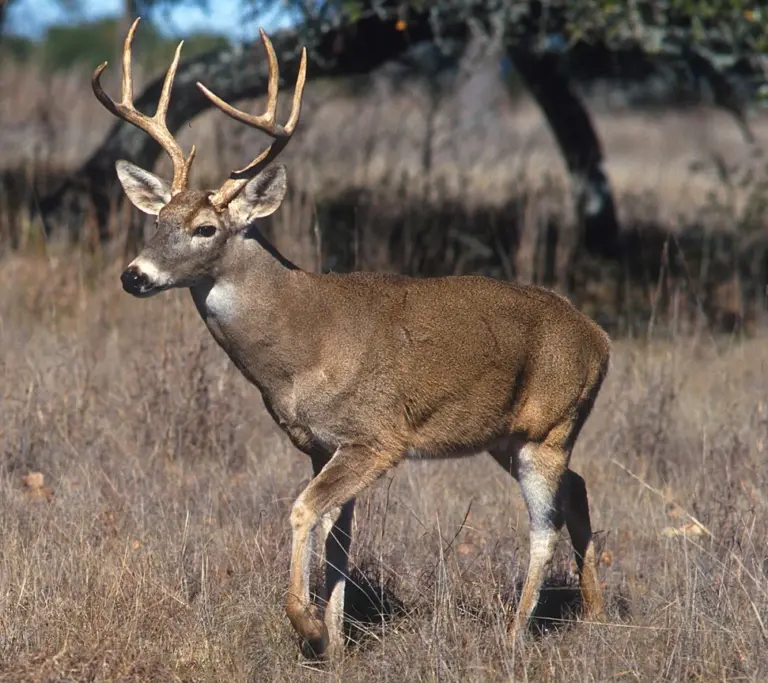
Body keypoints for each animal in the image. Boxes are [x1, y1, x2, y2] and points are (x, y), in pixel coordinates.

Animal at [94, 17, 611, 661]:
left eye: (205, 228)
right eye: (157, 221)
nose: (133, 276)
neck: (300, 348)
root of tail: (601, 339)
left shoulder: (376, 437)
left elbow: (303, 512)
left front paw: (309, 626)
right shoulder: (322, 443)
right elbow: (338, 538)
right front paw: (337, 641)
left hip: (550, 426)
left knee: (544, 525)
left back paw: (515, 635)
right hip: (508, 435)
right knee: (579, 489)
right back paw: (595, 615)